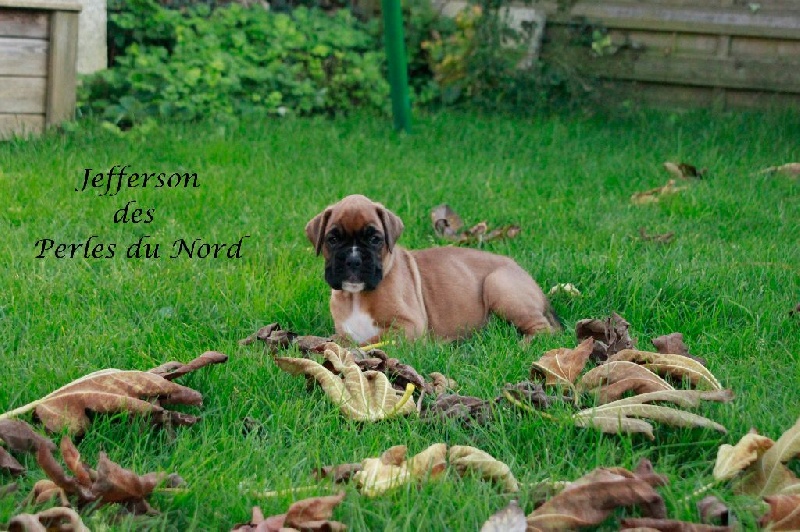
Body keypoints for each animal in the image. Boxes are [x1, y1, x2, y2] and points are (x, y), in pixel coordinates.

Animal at [305, 195, 561, 344]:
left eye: (375, 239)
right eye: (332, 239)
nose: (353, 260)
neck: (357, 296)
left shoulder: (408, 327)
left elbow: (368, 342)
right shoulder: (342, 331)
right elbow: (334, 340)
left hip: (498, 285)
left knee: (544, 329)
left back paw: (524, 345)